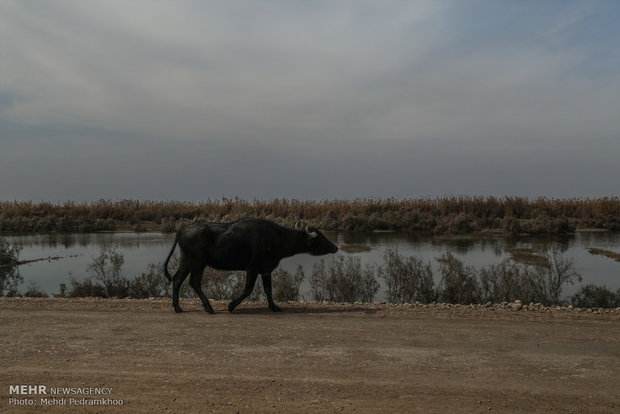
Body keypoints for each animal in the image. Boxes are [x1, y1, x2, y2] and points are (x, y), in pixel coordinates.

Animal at [163, 218, 340, 312]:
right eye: (321, 237)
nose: (336, 247)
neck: (276, 238)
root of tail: (181, 230)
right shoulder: (252, 269)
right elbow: (248, 289)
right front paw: (231, 306)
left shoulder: (266, 270)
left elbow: (268, 290)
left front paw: (274, 307)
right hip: (197, 263)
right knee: (194, 282)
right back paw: (208, 308)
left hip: (186, 261)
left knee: (177, 279)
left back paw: (177, 307)